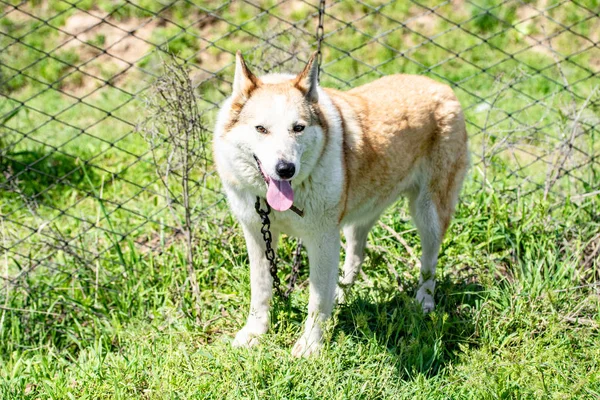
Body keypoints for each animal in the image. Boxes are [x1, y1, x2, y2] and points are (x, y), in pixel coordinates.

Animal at [213, 50, 472, 356]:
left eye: (298, 128)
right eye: (261, 129)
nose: (286, 169)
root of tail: (442, 87)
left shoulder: (321, 238)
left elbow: (315, 301)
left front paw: (310, 346)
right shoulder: (258, 234)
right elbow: (261, 291)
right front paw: (254, 333)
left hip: (428, 216)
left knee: (429, 264)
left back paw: (424, 301)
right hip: (357, 221)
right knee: (356, 258)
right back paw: (340, 294)